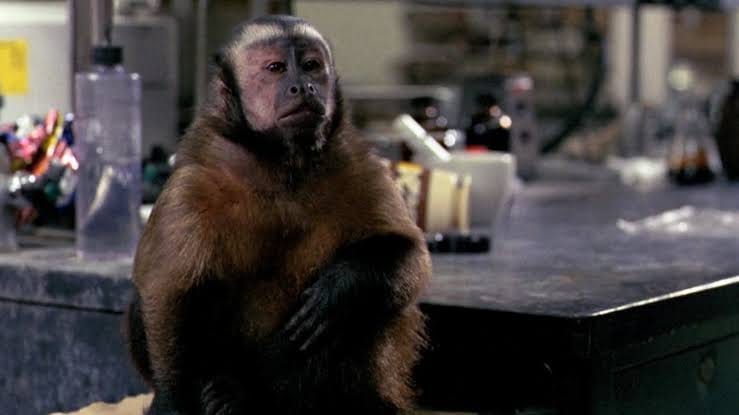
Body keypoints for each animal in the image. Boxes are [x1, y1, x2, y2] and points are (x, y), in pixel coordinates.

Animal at [125, 15, 431, 415]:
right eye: (276, 68)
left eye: (312, 65)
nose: (302, 86)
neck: (279, 164)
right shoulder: (192, 182)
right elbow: (170, 291)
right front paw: (172, 402)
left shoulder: (359, 163)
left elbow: (408, 253)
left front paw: (338, 291)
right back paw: (223, 394)